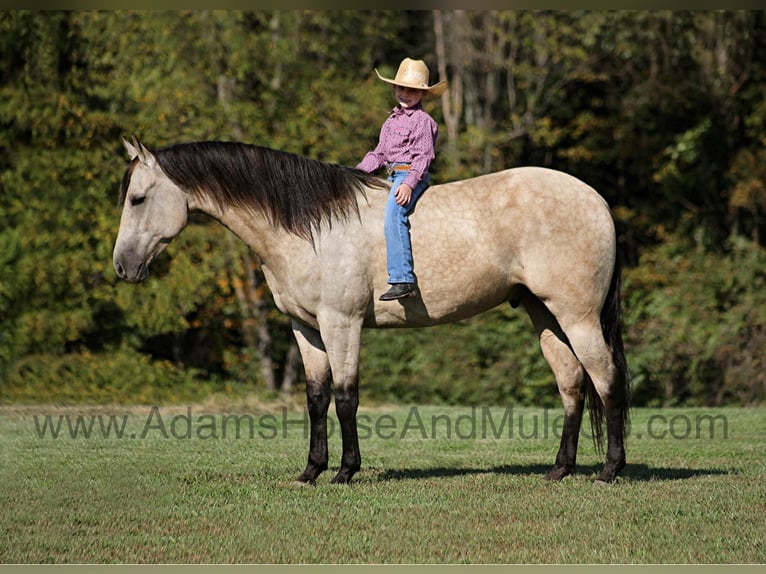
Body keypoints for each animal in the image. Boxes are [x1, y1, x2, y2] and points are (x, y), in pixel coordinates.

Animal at [113, 137, 630, 485]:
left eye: (138, 198)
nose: (122, 266)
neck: (309, 227)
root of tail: (598, 201)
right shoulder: (305, 328)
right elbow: (316, 398)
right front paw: (311, 471)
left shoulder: (341, 323)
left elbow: (346, 397)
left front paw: (345, 472)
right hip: (546, 317)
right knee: (572, 384)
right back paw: (560, 470)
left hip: (577, 317)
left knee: (606, 379)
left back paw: (609, 470)